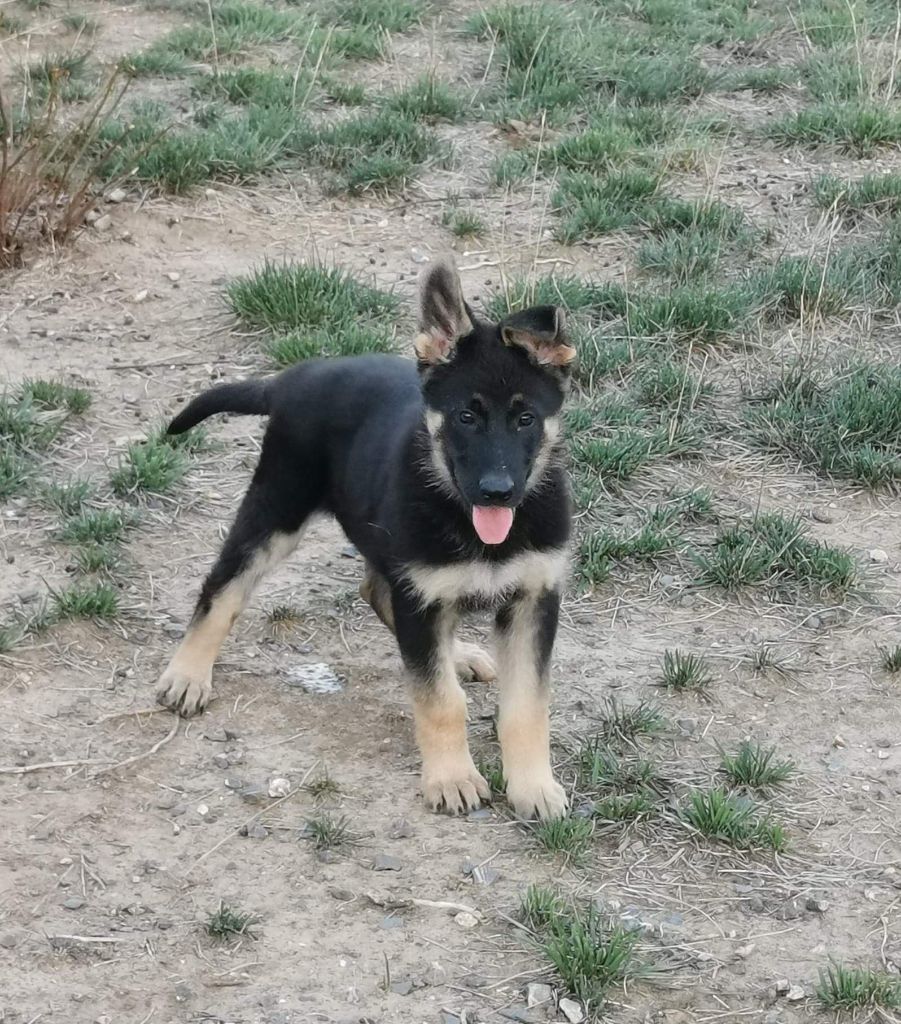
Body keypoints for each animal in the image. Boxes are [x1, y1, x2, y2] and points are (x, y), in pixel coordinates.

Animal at [157, 260, 573, 819]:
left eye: (526, 419)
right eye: (466, 417)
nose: (497, 492)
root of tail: (294, 377)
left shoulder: (533, 597)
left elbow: (527, 706)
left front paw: (532, 785)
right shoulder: (421, 596)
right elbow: (440, 702)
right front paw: (452, 778)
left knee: (376, 592)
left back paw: (457, 652)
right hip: (279, 505)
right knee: (222, 587)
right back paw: (187, 675)